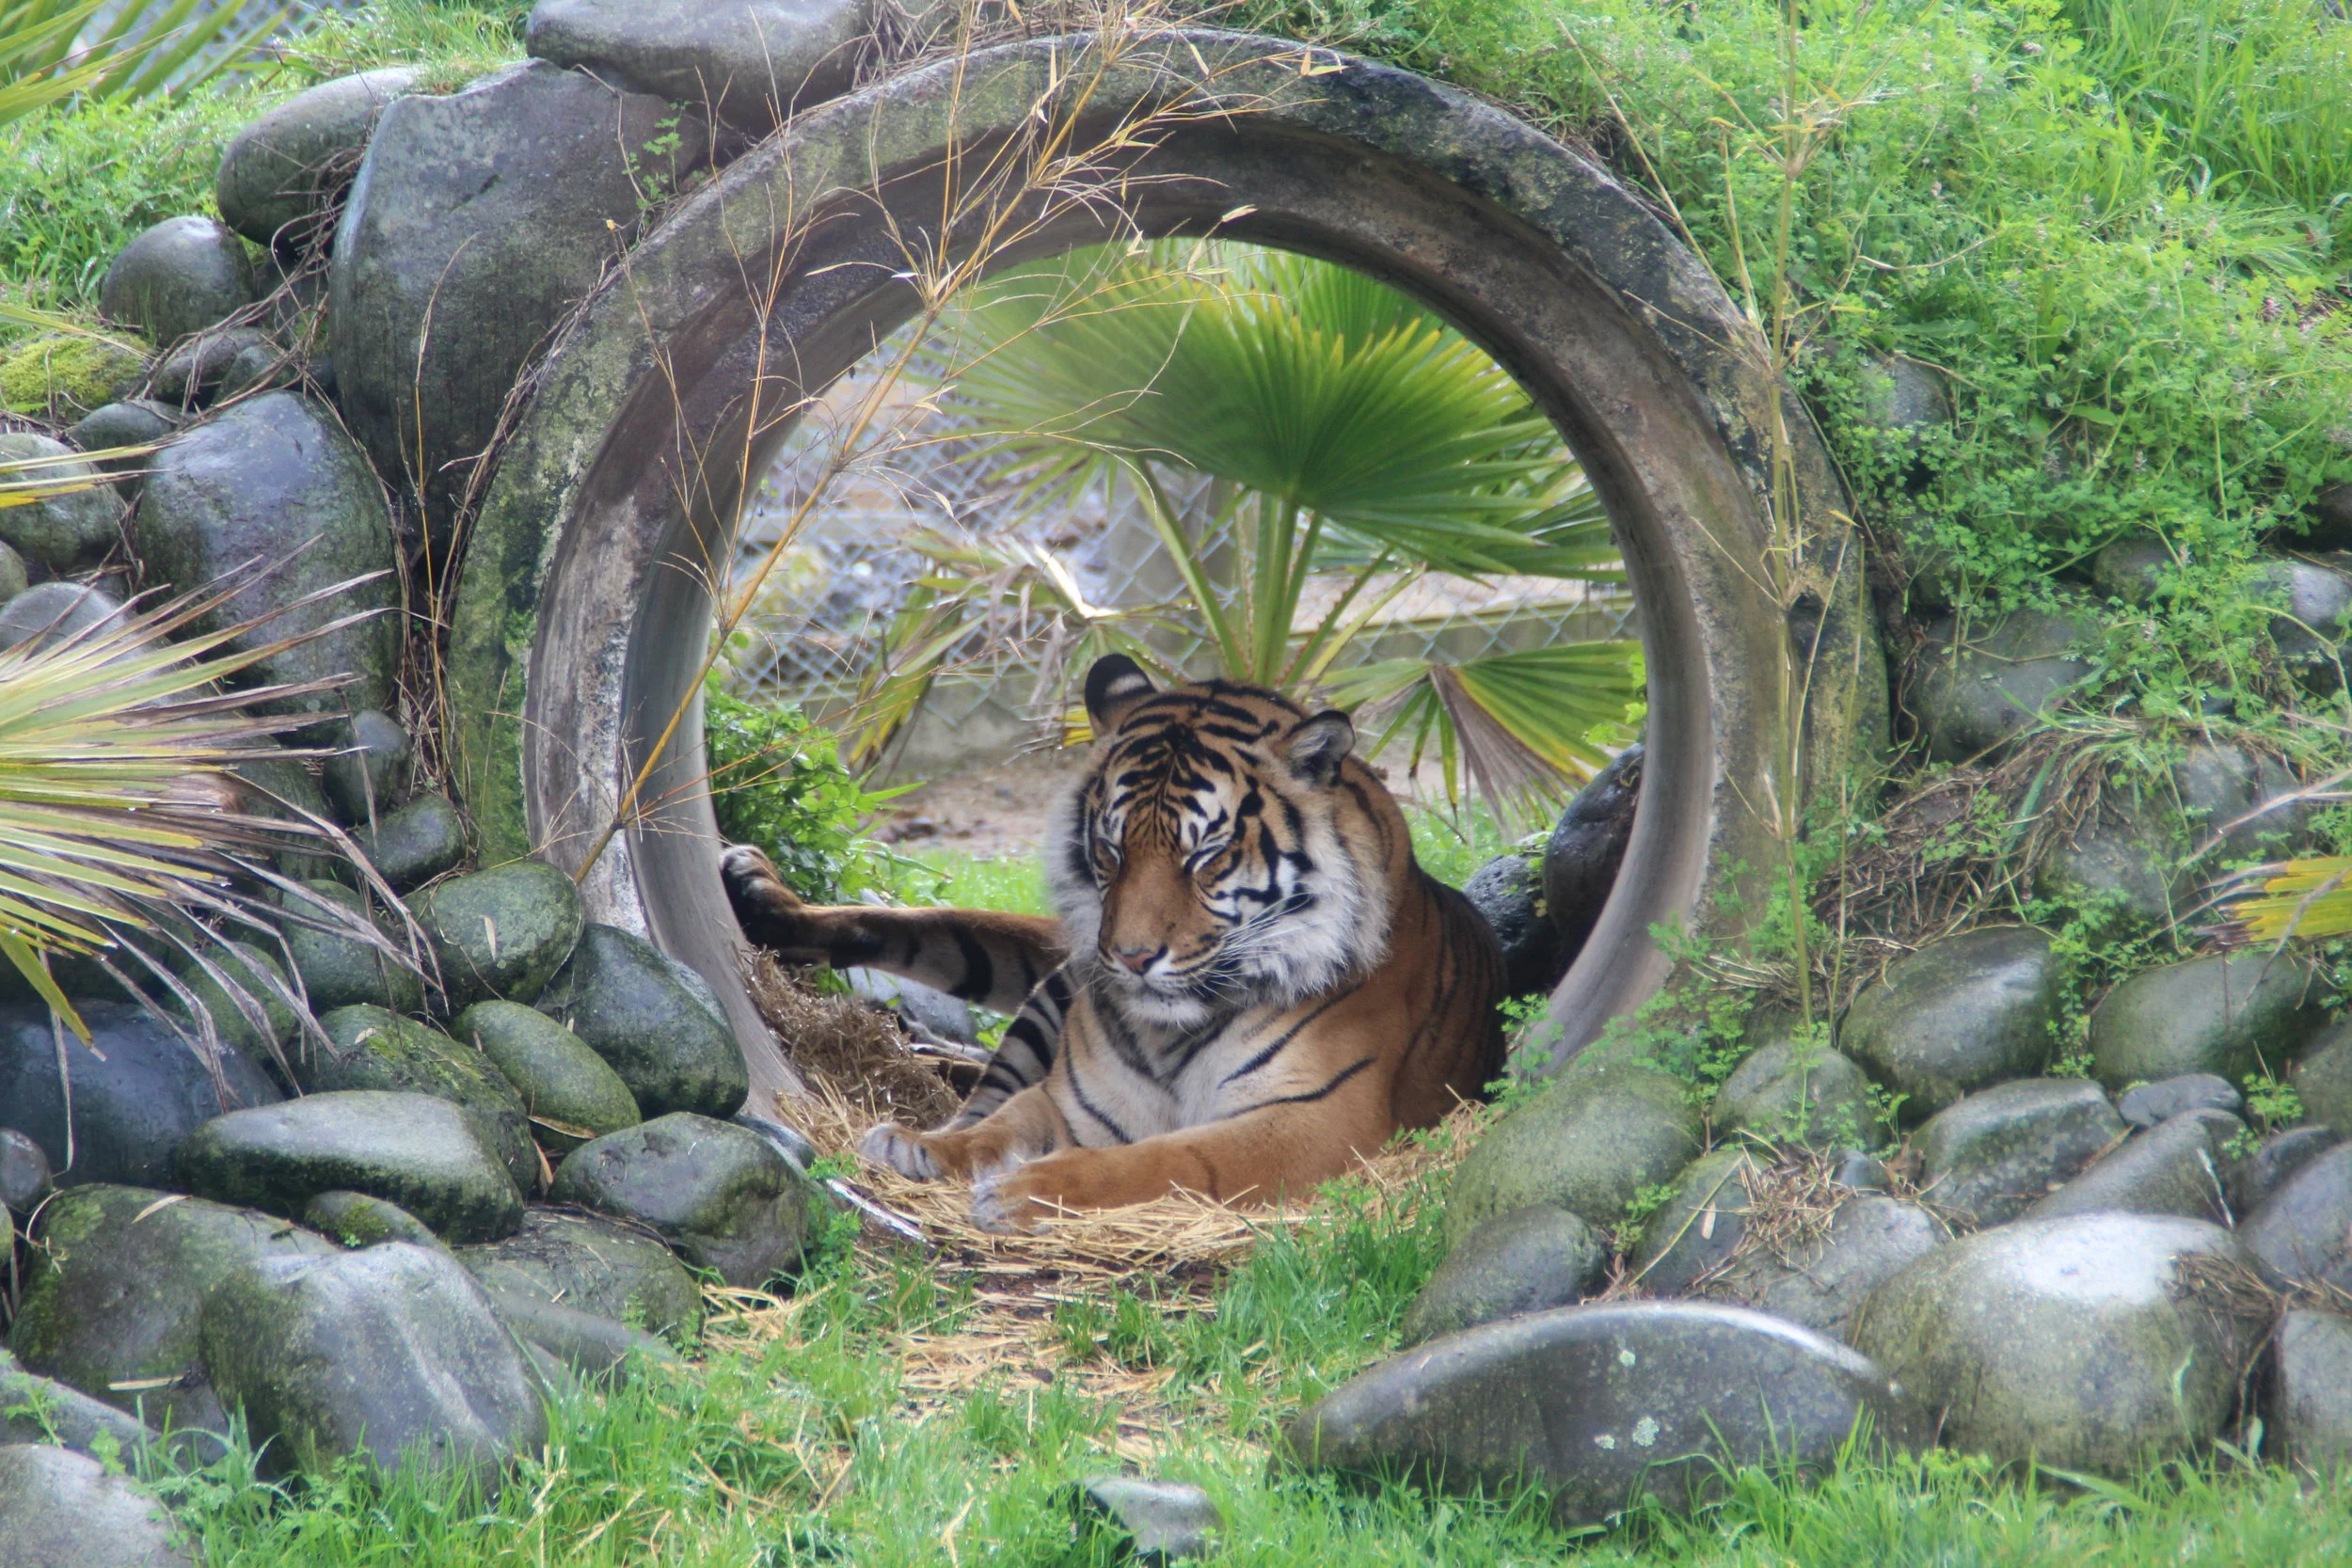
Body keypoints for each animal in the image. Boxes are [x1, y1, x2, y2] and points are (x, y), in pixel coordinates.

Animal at [721, 653, 1506, 1232]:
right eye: (1112, 847)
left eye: (1204, 856)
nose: (1128, 957)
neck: (1174, 1032)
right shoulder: (1071, 1096)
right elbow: (1000, 1120)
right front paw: (925, 1146)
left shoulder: (1312, 1118)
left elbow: (1166, 1159)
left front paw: (1020, 1190)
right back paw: (763, 897)